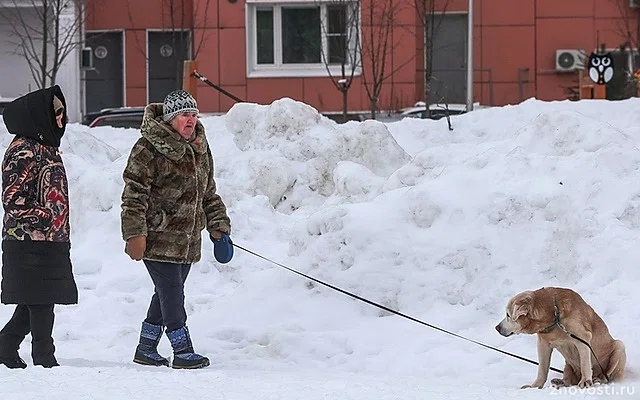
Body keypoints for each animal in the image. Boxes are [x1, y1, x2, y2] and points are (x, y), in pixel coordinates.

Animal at [496, 286, 624, 390]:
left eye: (508, 315)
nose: (497, 328)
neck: (554, 315)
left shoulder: (582, 338)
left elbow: (584, 364)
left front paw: (585, 381)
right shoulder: (543, 344)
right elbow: (542, 369)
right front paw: (535, 386)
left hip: (619, 347)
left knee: (607, 376)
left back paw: (598, 379)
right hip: (568, 365)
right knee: (568, 380)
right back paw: (559, 382)